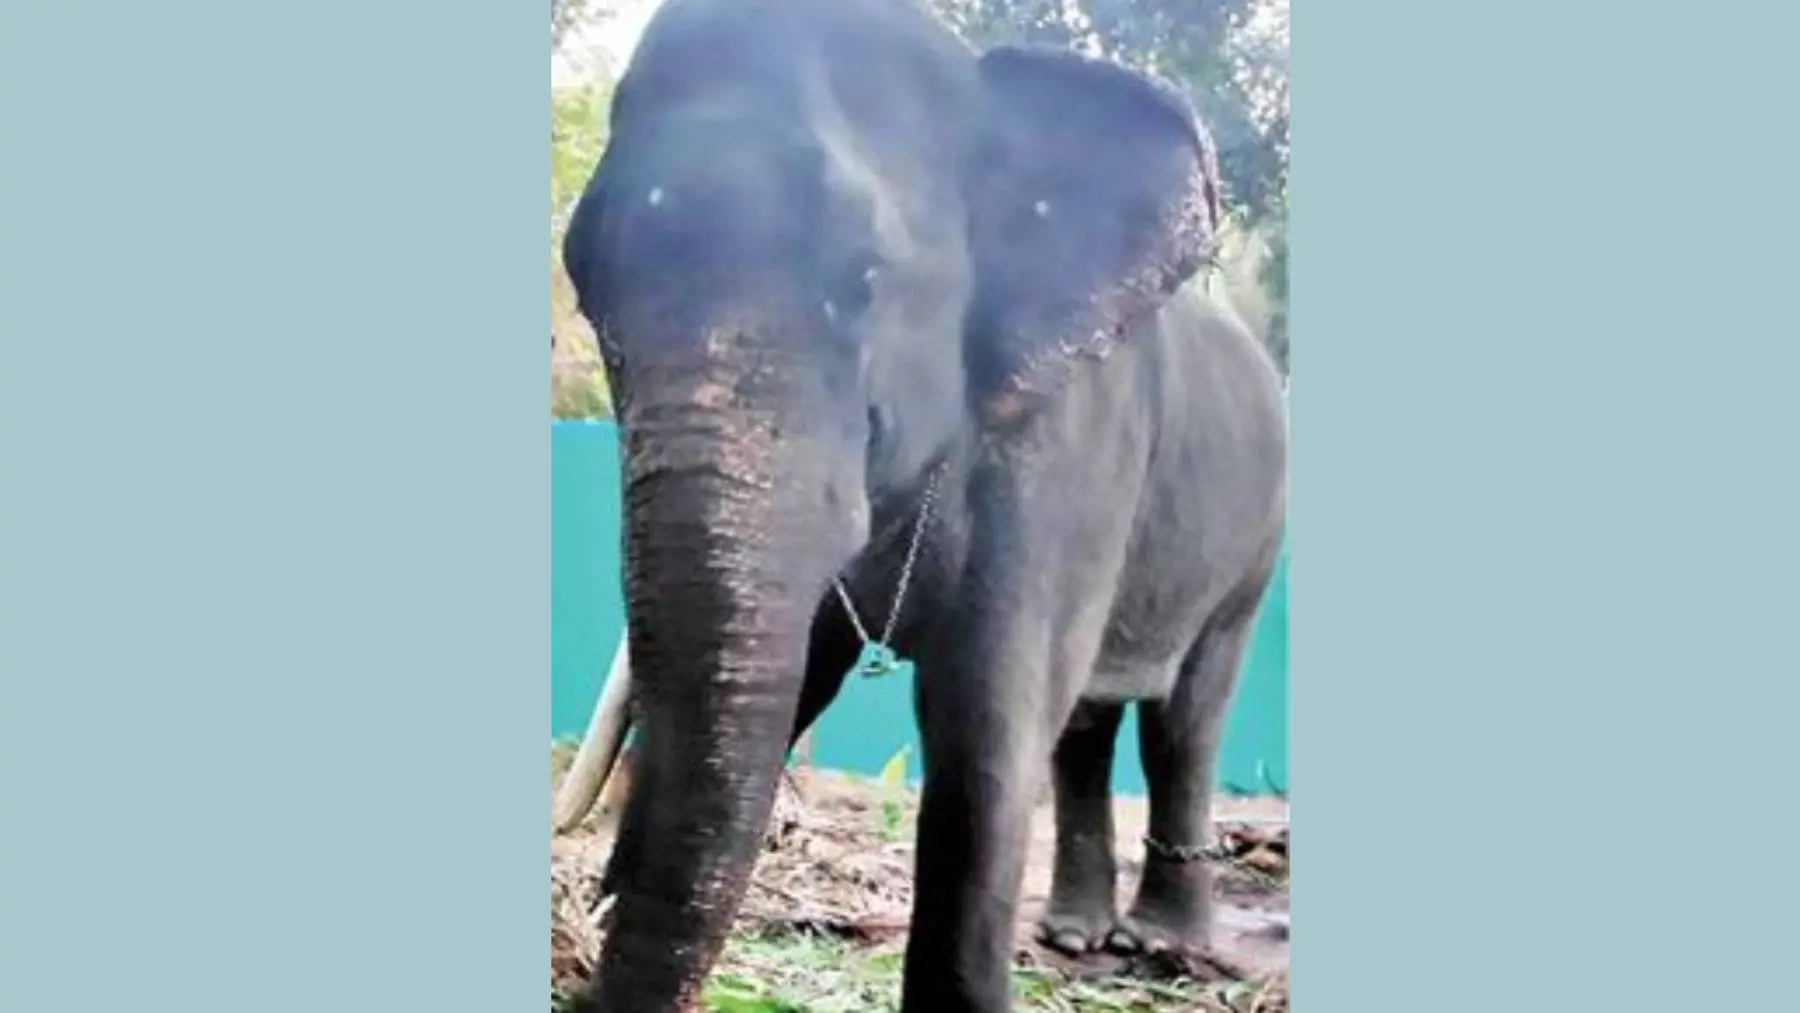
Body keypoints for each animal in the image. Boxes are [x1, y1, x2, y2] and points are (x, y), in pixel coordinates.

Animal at [554, 0, 1289, 1010]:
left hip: (1252, 550)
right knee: (1088, 723)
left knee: (1186, 716)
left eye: (864, 278)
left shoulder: (1069, 446)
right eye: (585, 283)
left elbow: (984, 720)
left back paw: (1159, 942)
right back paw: (1074, 930)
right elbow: (800, 680)